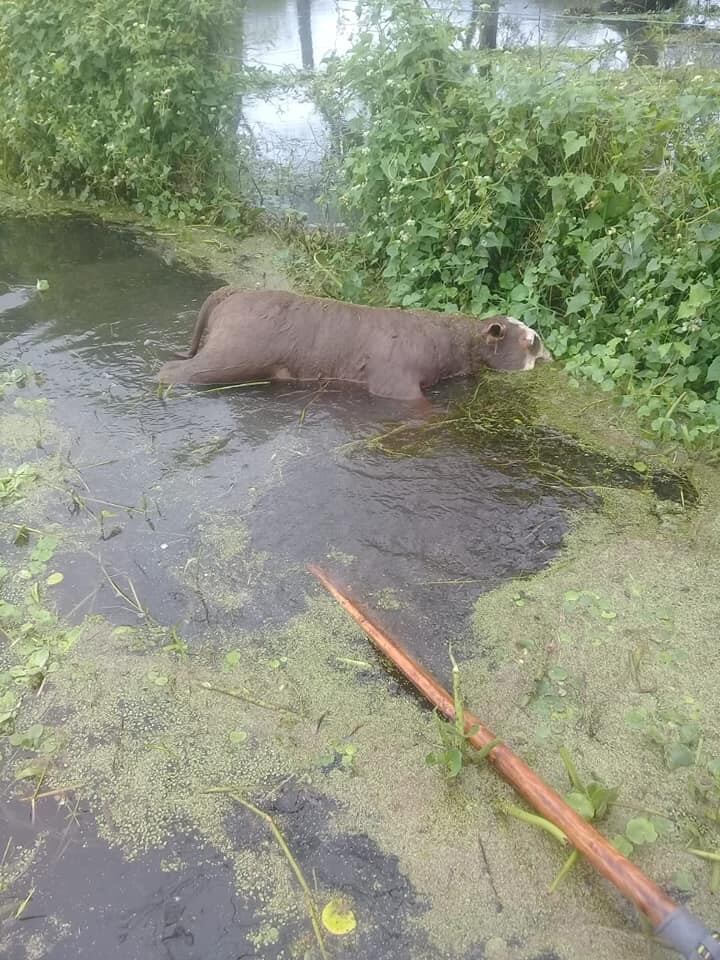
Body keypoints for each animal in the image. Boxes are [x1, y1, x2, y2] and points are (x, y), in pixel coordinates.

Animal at [158, 284, 552, 400]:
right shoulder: (394, 381)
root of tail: (233, 291)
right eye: (531, 341)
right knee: (173, 370)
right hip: (232, 354)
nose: (549, 357)